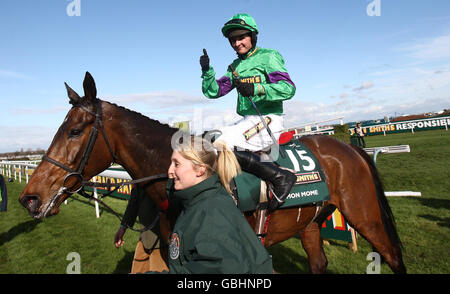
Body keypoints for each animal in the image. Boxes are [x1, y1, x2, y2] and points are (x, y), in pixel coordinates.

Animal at [17, 73, 406, 274]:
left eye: (74, 131)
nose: (29, 198)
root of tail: (348, 147)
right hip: (309, 221)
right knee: (319, 261)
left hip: (365, 215)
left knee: (392, 255)